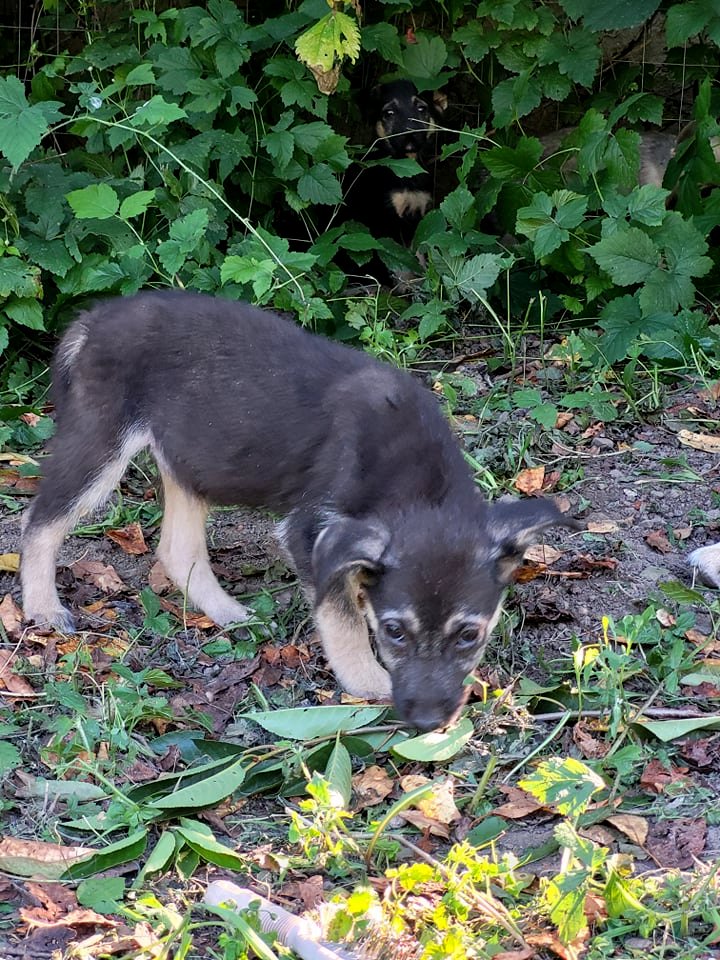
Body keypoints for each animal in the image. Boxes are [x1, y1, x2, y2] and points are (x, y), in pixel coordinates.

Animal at [21, 290, 580, 728]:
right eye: (394, 631)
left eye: (469, 635)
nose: (426, 722)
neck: (414, 480)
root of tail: (93, 320)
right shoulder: (312, 531)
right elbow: (343, 619)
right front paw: (367, 680)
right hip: (102, 445)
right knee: (39, 521)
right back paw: (43, 608)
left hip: (193, 458)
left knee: (178, 550)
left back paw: (229, 614)